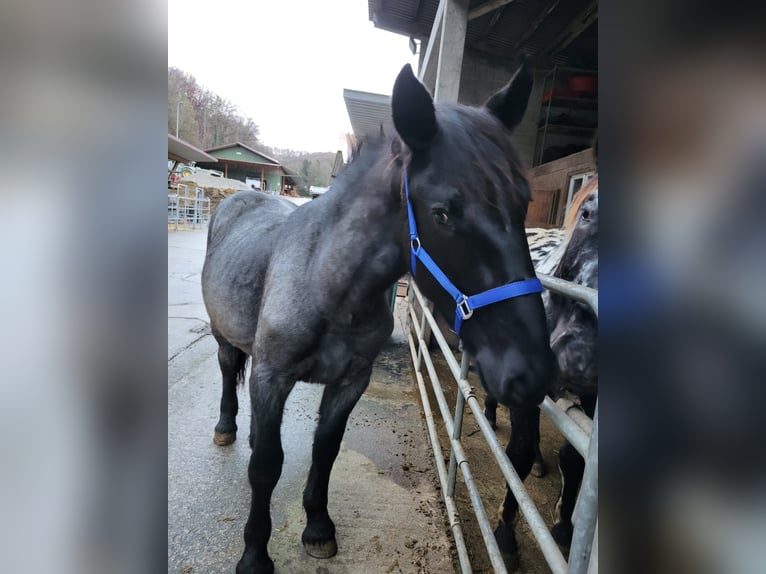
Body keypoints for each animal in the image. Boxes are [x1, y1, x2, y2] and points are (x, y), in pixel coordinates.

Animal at [201, 63, 556, 574]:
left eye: (523, 201)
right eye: (442, 214)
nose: (533, 373)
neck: (327, 284)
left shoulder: (352, 381)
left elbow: (325, 451)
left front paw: (318, 526)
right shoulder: (271, 378)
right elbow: (266, 464)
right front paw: (254, 554)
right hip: (224, 336)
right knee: (229, 371)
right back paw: (226, 427)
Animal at [486, 173, 600, 568]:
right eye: (587, 213)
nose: (581, 356)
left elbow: (576, 460)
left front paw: (564, 527)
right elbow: (516, 453)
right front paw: (506, 533)